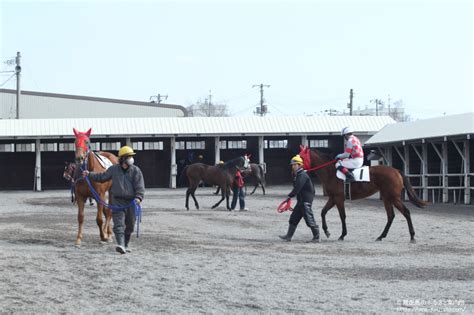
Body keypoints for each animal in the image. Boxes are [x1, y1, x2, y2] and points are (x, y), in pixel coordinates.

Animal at [298, 146, 428, 244]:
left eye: (301, 157)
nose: (295, 167)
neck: (331, 173)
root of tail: (396, 171)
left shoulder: (339, 199)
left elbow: (342, 216)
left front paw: (342, 235)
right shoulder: (332, 198)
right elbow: (323, 212)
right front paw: (326, 231)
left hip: (394, 197)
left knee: (406, 212)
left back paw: (412, 236)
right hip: (386, 198)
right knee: (391, 216)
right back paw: (381, 236)